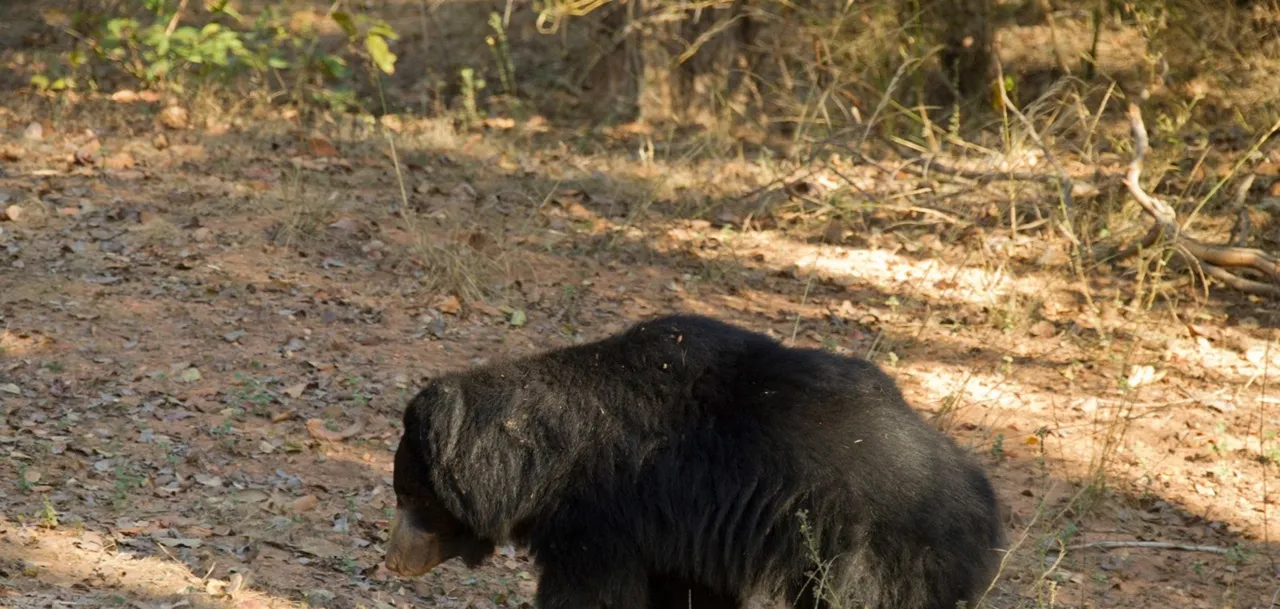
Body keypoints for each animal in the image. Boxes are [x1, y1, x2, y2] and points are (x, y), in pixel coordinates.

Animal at [383, 314, 1004, 609]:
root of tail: (984, 504)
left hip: (879, 556)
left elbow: (592, 595)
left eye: (412, 498)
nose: (392, 561)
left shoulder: (602, 516)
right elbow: (692, 593)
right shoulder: (681, 534)